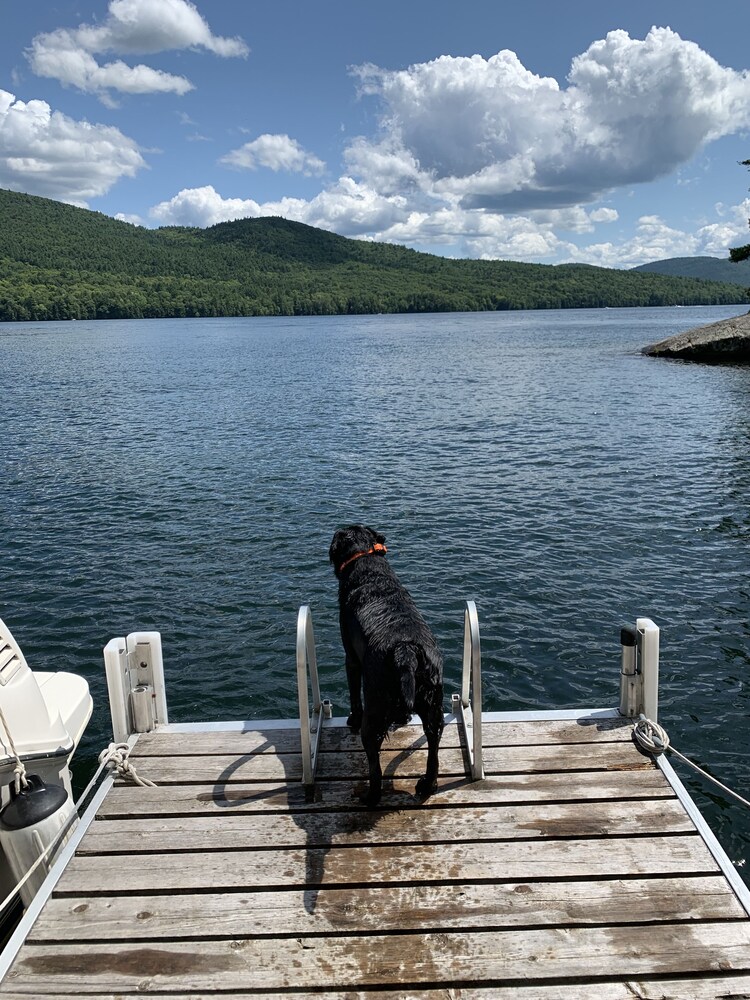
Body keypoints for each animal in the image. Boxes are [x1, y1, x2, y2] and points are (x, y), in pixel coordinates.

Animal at [330, 528, 446, 808]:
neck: (366, 562)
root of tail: (406, 651)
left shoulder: (351, 658)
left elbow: (353, 694)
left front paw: (351, 718)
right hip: (433, 705)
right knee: (433, 747)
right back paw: (427, 786)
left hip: (373, 713)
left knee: (375, 768)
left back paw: (370, 798)